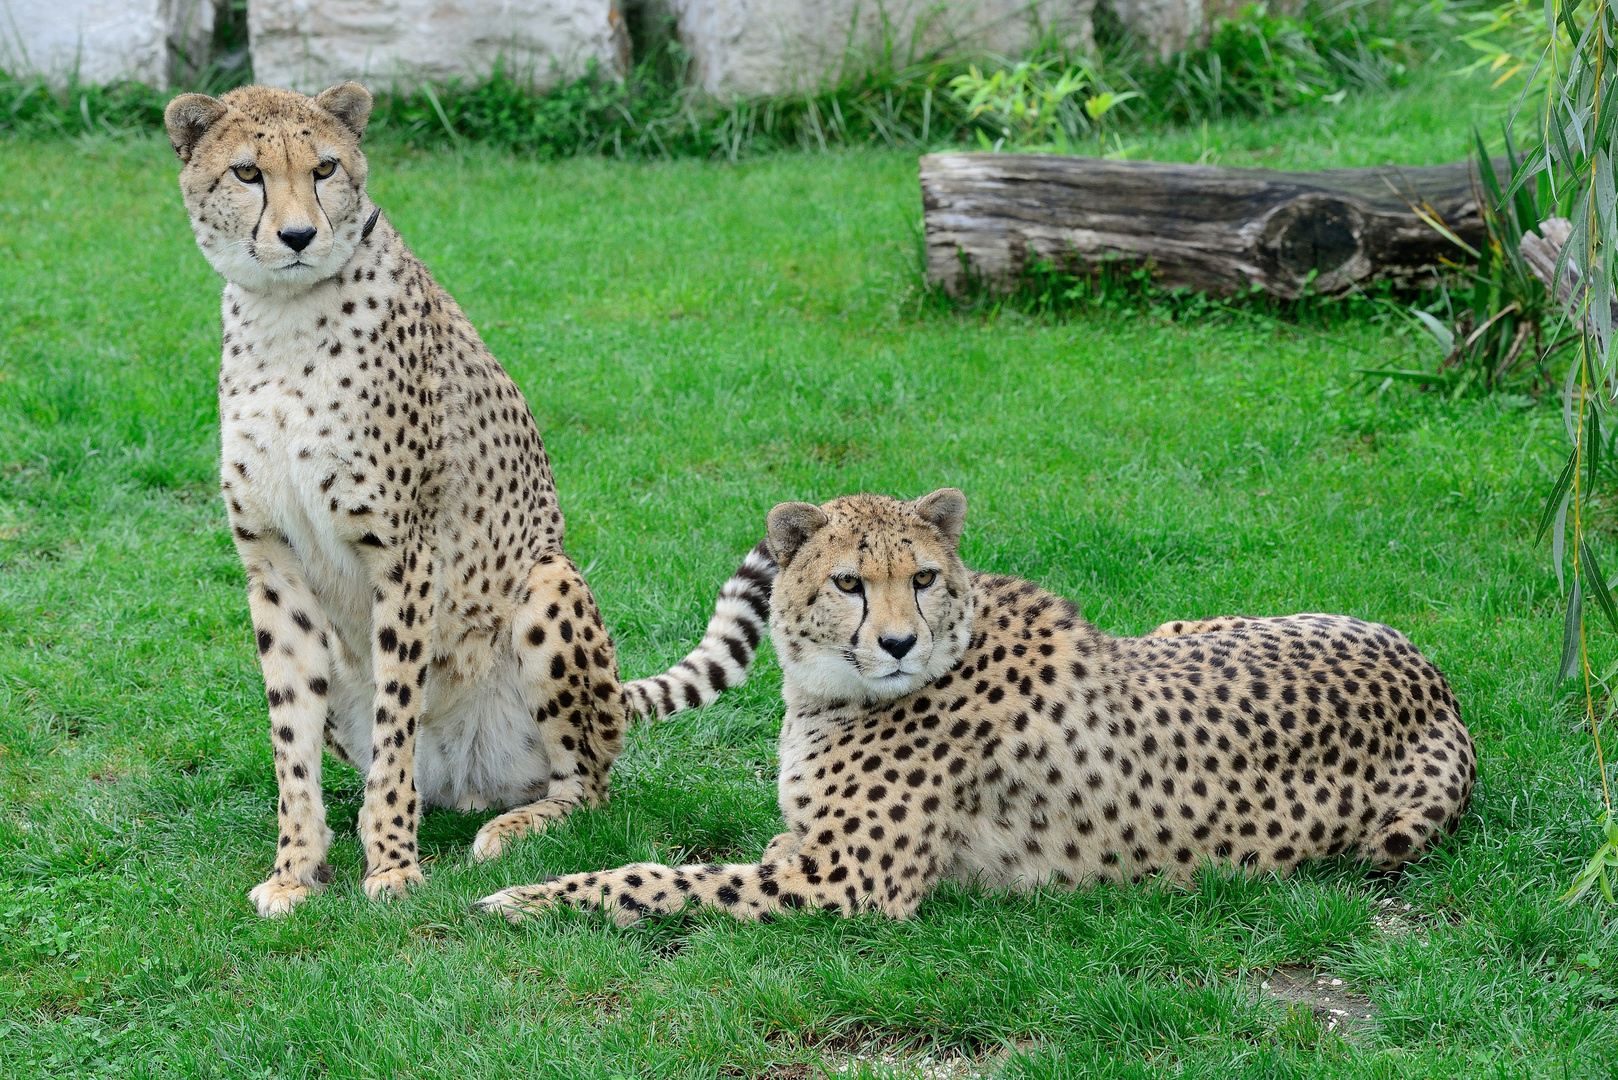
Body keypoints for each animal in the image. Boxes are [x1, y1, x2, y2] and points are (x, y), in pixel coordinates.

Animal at [162, 82, 770, 919]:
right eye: (248, 172)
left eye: (324, 168)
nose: (297, 235)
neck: (284, 318)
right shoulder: (273, 568)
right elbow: (292, 740)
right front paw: (296, 869)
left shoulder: (402, 553)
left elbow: (396, 722)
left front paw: (390, 864)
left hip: (550, 583)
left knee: (587, 789)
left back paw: (512, 833)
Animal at [472, 488, 1475, 919]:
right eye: (848, 582)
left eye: (921, 577)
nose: (898, 643)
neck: (826, 692)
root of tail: (1433, 674)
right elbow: (765, 840)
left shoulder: (849, 885)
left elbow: (656, 877)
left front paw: (530, 897)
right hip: (1180, 624)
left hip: (1387, 838)